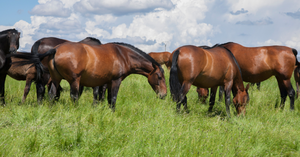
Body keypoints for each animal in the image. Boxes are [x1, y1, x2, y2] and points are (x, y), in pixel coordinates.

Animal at [11, 41, 166, 110]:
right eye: (159, 77)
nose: (164, 95)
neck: (122, 55)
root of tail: (55, 49)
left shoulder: (107, 82)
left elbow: (107, 98)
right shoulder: (116, 81)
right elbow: (113, 99)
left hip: (55, 79)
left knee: (51, 94)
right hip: (74, 81)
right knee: (73, 97)